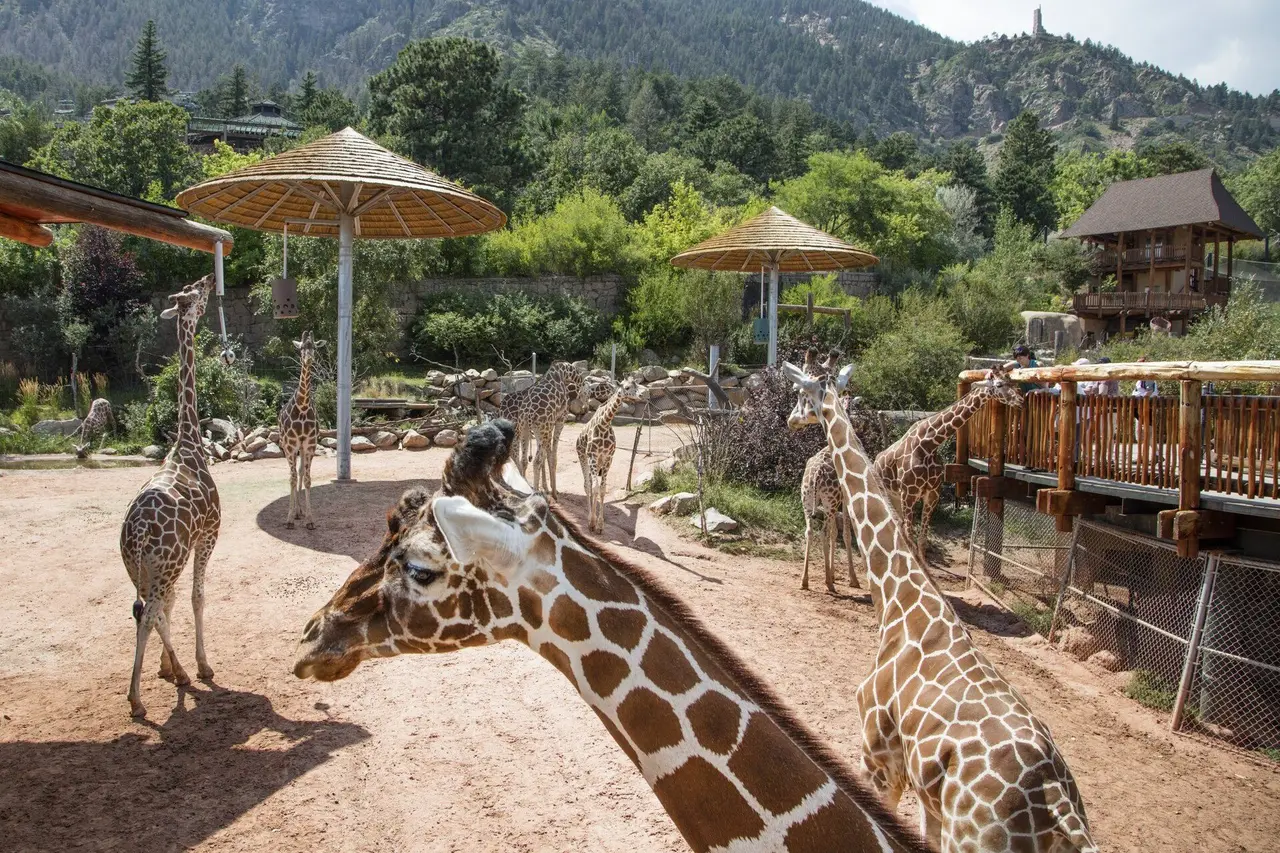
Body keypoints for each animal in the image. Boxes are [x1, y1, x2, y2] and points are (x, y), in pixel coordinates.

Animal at [497, 360, 584, 497]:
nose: (584, 408)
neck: (563, 373)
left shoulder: (545, 428)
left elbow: (545, 456)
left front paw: (547, 488)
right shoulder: (559, 420)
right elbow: (552, 456)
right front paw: (553, 491)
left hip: (525, 429)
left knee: (522, 458)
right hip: (526, 430)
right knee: (528, 458)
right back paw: (532, 490)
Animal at [576, 375, 644, 533]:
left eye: (637, 384)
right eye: (627, 387)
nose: (641, 395)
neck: (604, 424)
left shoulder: (608, 459)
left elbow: (602, 489)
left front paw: (600, 525)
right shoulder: (592, 456)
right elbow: (594, 487)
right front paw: (592, 522)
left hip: (598, 464)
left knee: (592, 485)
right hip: (583, 457)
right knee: (587, 485)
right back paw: (589, 518)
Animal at [800, 447, 857, 593]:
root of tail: (817, 474)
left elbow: (834, 533)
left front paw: (833, 574)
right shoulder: (846, 497)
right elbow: (846, 534)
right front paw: (853, 579)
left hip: (809, 502)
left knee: (809, 532)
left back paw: (804, 581)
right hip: (829, 503)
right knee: (823, 532)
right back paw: (828, 583)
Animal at [872, 363, 1023, 561]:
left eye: (1011, 380)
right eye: (999, 384)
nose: (1021, 400)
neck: (929, 444)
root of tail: (875, 461)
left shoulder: (932, 493)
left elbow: (921, 540)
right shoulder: (909, 493)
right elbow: (909, 537)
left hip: (896, 496)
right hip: (891, 493)